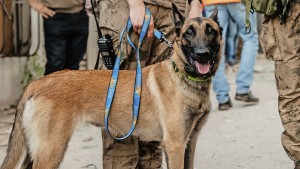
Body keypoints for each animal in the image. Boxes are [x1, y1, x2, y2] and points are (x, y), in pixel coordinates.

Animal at [0, 4, 223, 169]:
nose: (203, 54)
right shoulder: (175, 145)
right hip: (51, 150)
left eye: (211, 31)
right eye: (188, 33)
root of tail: (37, 82)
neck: (184, 77)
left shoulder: (189, 143)